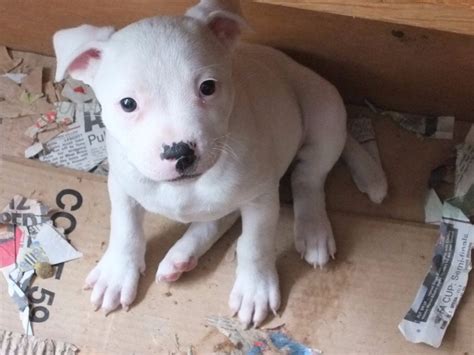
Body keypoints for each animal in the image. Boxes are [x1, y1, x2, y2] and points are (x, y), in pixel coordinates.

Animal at [53, 0, 386, 328]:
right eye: (127, 104)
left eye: (208, 87)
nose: (180, 152)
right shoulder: (123, 184)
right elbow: (124, 228)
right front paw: (117, 273)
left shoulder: (261, 197)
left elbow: (254, 244)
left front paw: (255, 289)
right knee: (222, 215)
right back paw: (182, 255)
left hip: (324, 113)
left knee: (307, 178)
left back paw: (313, 228)